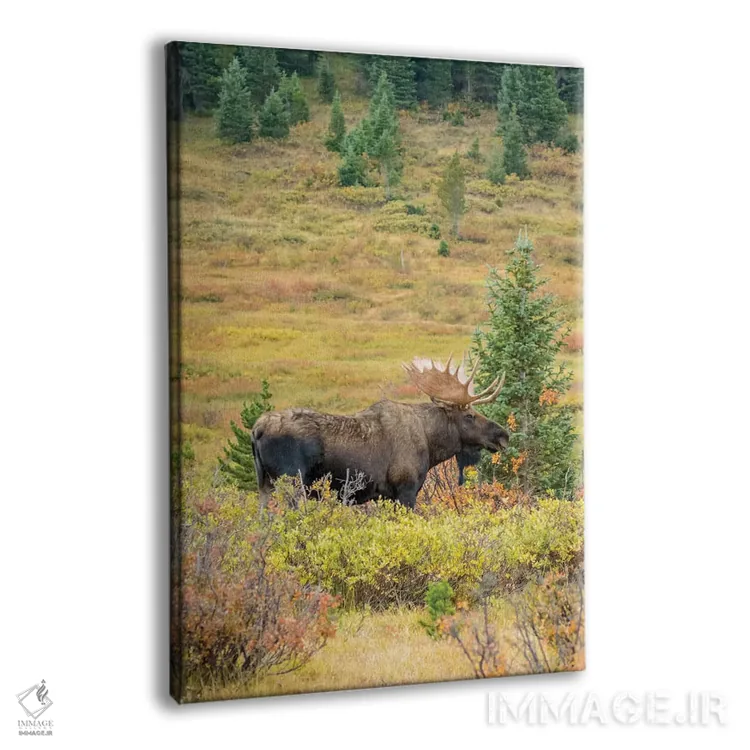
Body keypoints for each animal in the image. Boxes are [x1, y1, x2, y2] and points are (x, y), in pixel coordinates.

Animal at [251, 356, 509, 508]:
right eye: (469, 416)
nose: (503, 435)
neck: (431, 444)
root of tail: (257, 430)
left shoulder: (385, 495)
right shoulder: (406, 489)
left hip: (264, 484)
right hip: (292, 482)